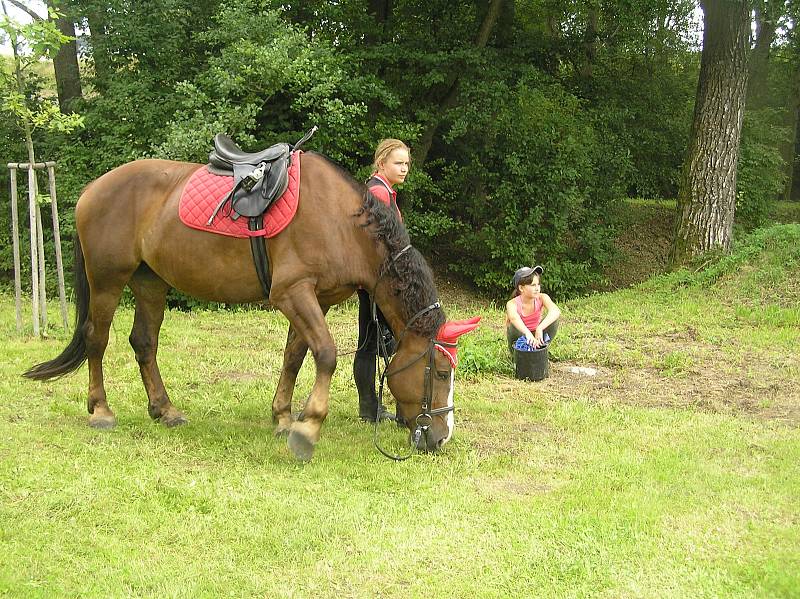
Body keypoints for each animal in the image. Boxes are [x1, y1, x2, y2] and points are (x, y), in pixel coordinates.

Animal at [23, 154, 476, 460]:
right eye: (439, 371)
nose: (440, 437)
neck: (341, 223)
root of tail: (92, 189)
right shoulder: (292, 293)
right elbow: (326, 354)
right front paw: (307, 428)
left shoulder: (317, 299)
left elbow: (295, 356)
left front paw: (283, 417)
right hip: (108, 281)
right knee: (96, 340)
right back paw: (100, 411)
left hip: (150, 282)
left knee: (143, 343)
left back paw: (165, 409)